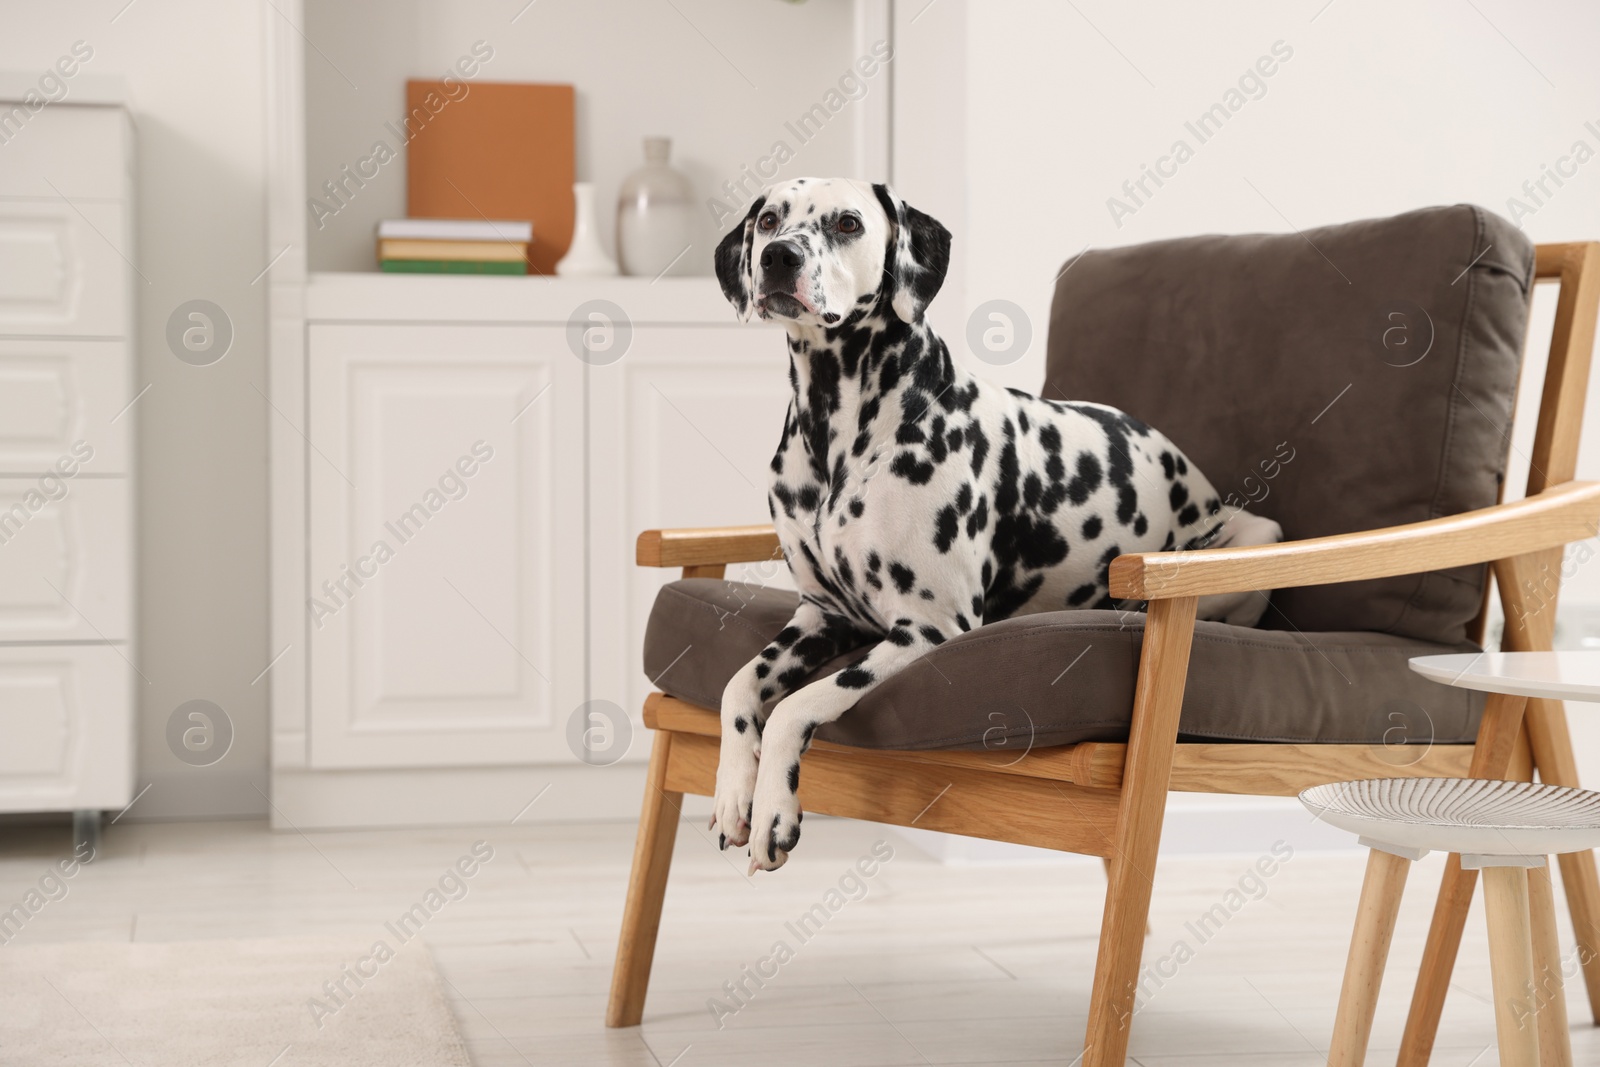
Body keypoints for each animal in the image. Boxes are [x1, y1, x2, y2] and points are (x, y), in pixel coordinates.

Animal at [713, 179, 1286, 870]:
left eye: (848, 222)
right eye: (770, 220)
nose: (779, 257)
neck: (838, 433)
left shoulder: (930, 630)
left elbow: (796, 706)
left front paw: (774, 810)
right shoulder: (821, 617)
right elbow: (737, 687)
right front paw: (734, 792)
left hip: (1259, 534)